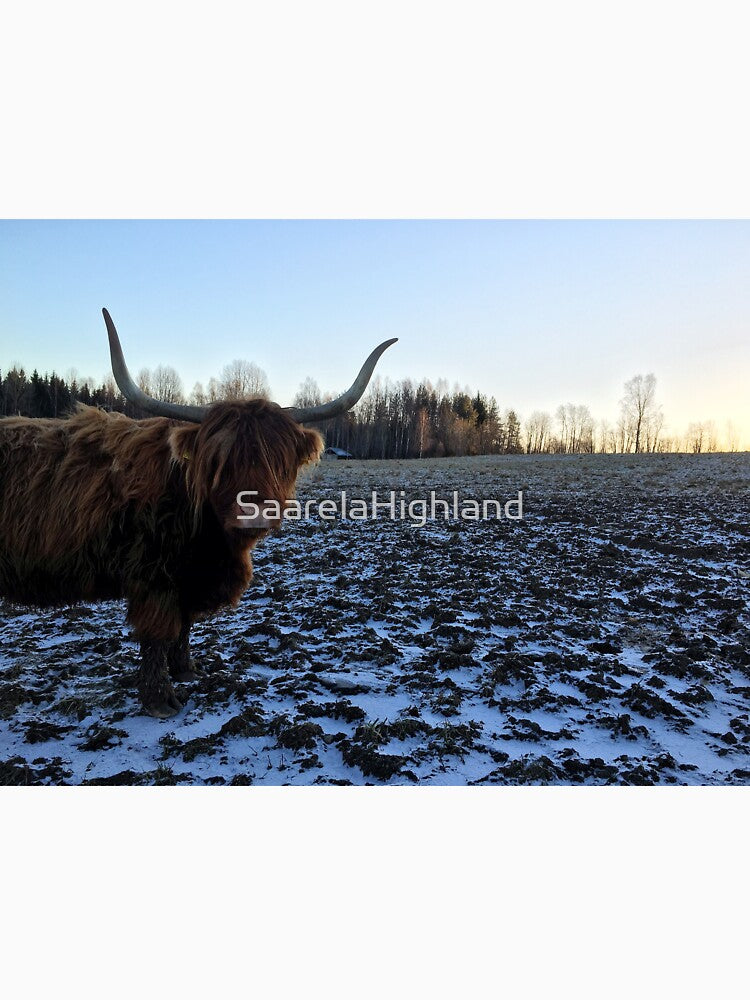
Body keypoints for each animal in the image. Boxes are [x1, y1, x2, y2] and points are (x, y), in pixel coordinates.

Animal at [0, 309, 396, 717]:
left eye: (277, 460)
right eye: (220, 462)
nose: (254, 513)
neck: (211, 539)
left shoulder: (189, 578)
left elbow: (185, 626)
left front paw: (187, 670)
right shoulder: (153, 576)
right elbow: (157, 635)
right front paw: (161, 700)